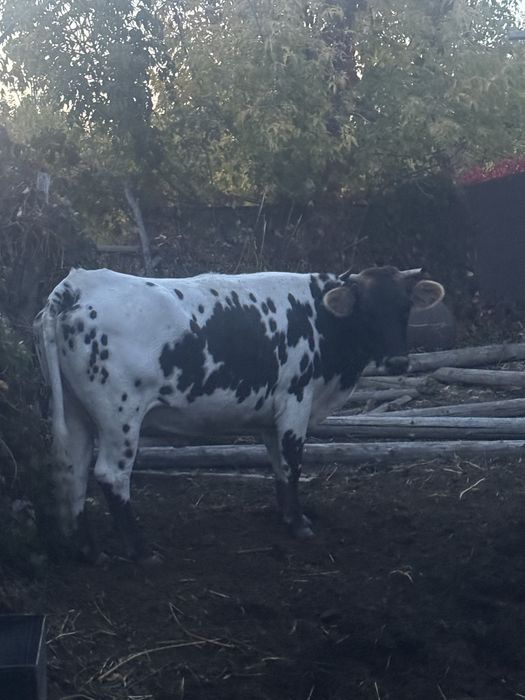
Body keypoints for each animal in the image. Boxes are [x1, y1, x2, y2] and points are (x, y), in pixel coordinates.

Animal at [34, 265, 444, 562]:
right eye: (367, 311)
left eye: (405, 308)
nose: (398, 362)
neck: (320, 318)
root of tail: (79, 282)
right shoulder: (296, 399)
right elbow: (293, 462)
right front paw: (299, 525)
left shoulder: (271, 414)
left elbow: (278, 465)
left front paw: (287, 516)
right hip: (120, 415)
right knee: (111, 475)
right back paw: (140, 550)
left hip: (76, 410)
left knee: (74, 467)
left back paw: (89, 550)